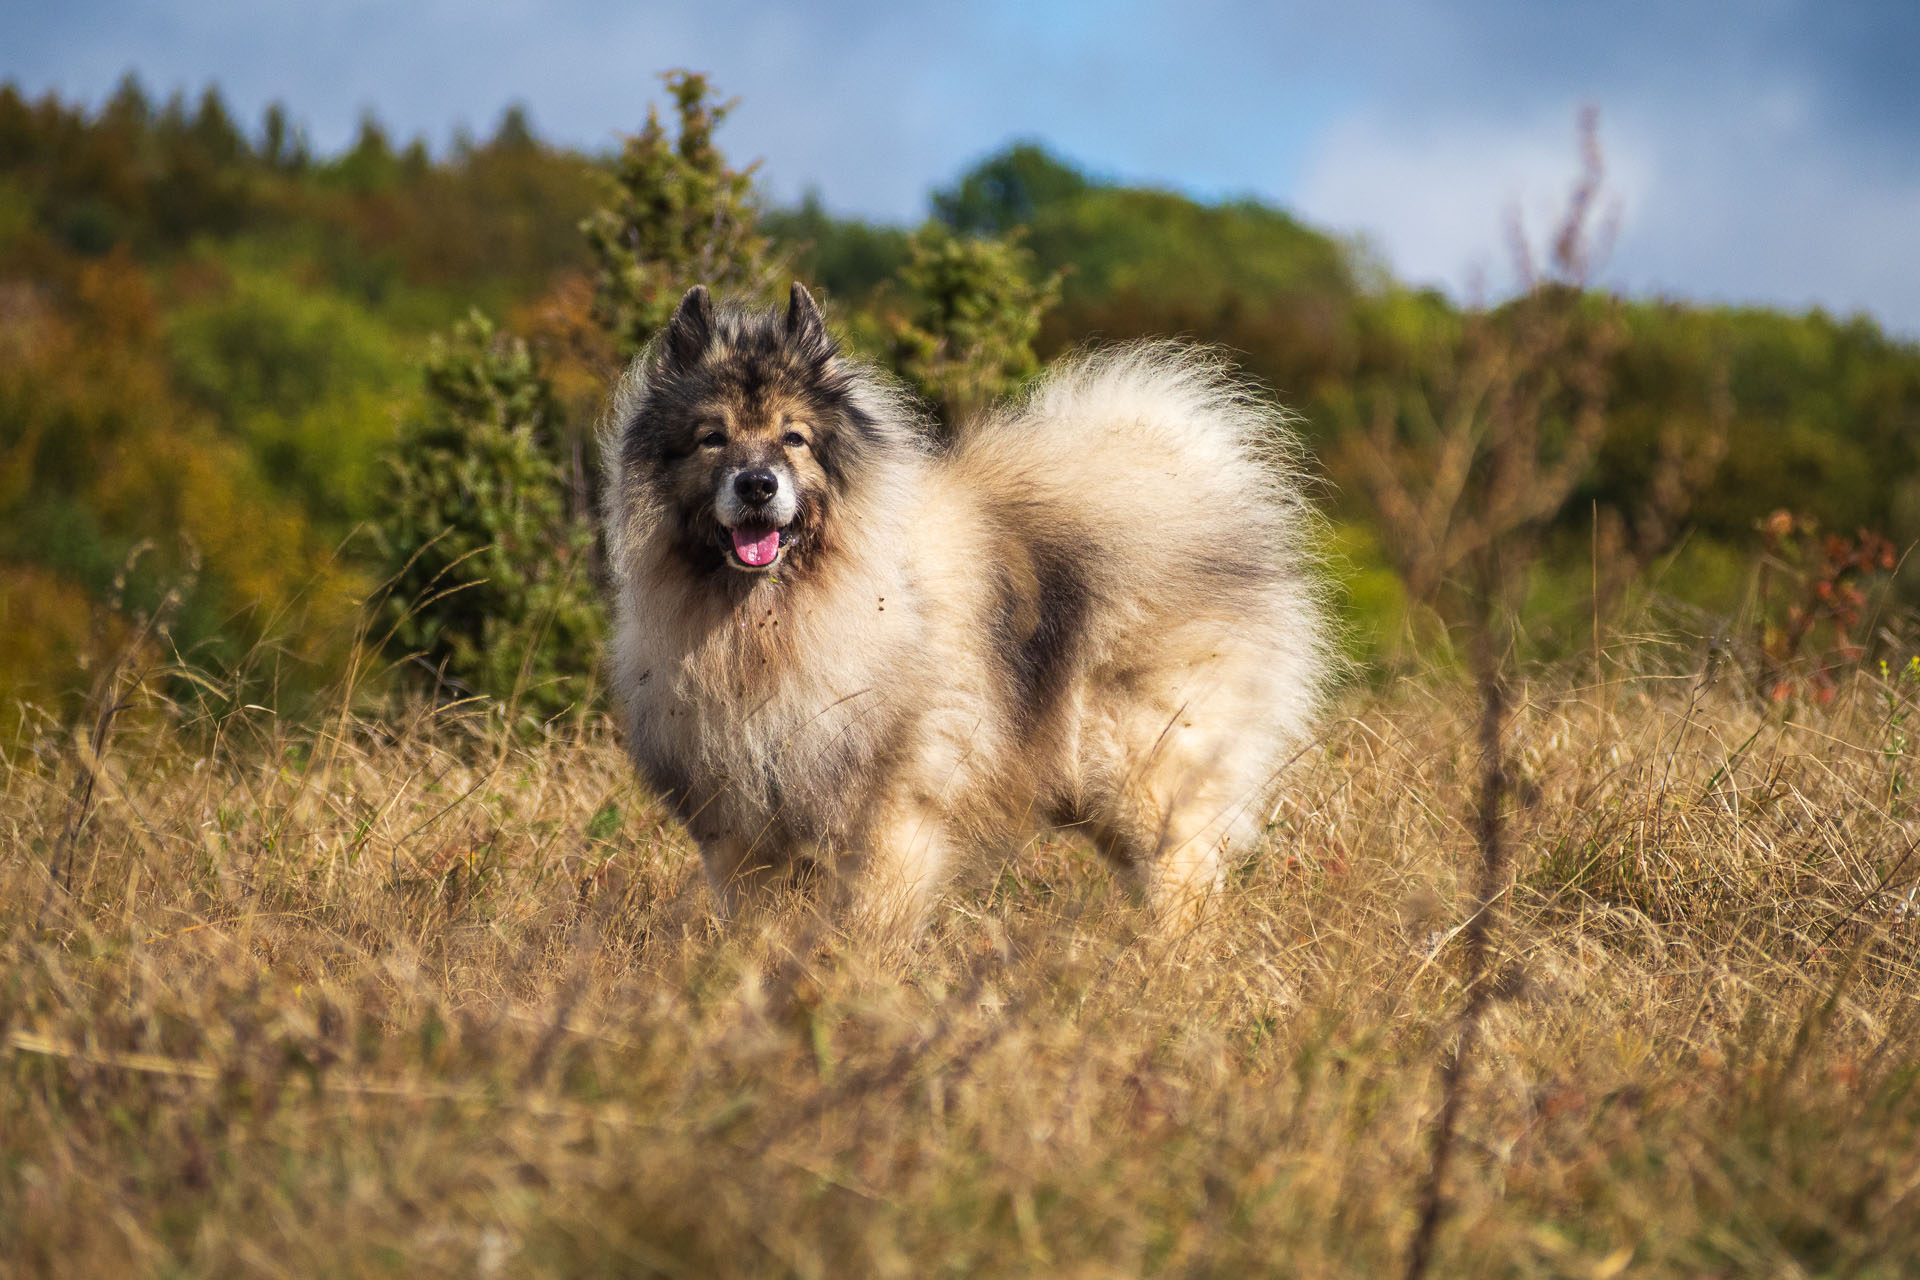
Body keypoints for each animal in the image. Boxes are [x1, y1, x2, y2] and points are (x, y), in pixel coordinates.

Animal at [599, 285, 1336, 936]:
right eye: (712, 439)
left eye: (794, 439)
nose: (758, 485)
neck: (770, 620)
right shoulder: (744, 828)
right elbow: (756, 927)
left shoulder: (891, 818)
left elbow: (866, 925)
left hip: (1144, 776)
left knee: (1183, 878)